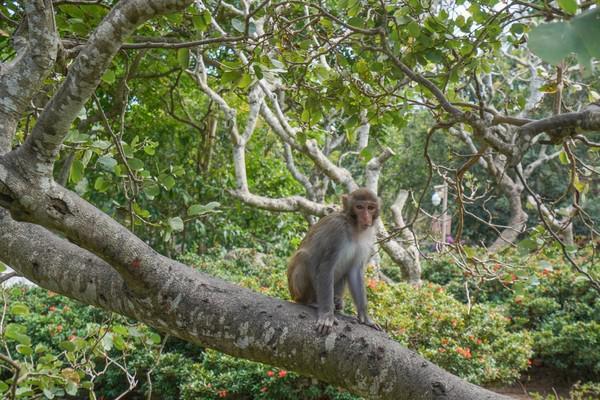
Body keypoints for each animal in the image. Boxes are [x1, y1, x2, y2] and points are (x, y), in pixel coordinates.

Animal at [288, 188, 382, 334]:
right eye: (359, 207)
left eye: (370, 208)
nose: (366, 217)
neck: (353, 227)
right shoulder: (337, 232)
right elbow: (326, 267)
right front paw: (327, 315)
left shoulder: (368, 238)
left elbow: (355, 271)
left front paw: (366, 318)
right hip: (297, 291)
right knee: (304, 257)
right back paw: (312, 302)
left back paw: (337, 303)